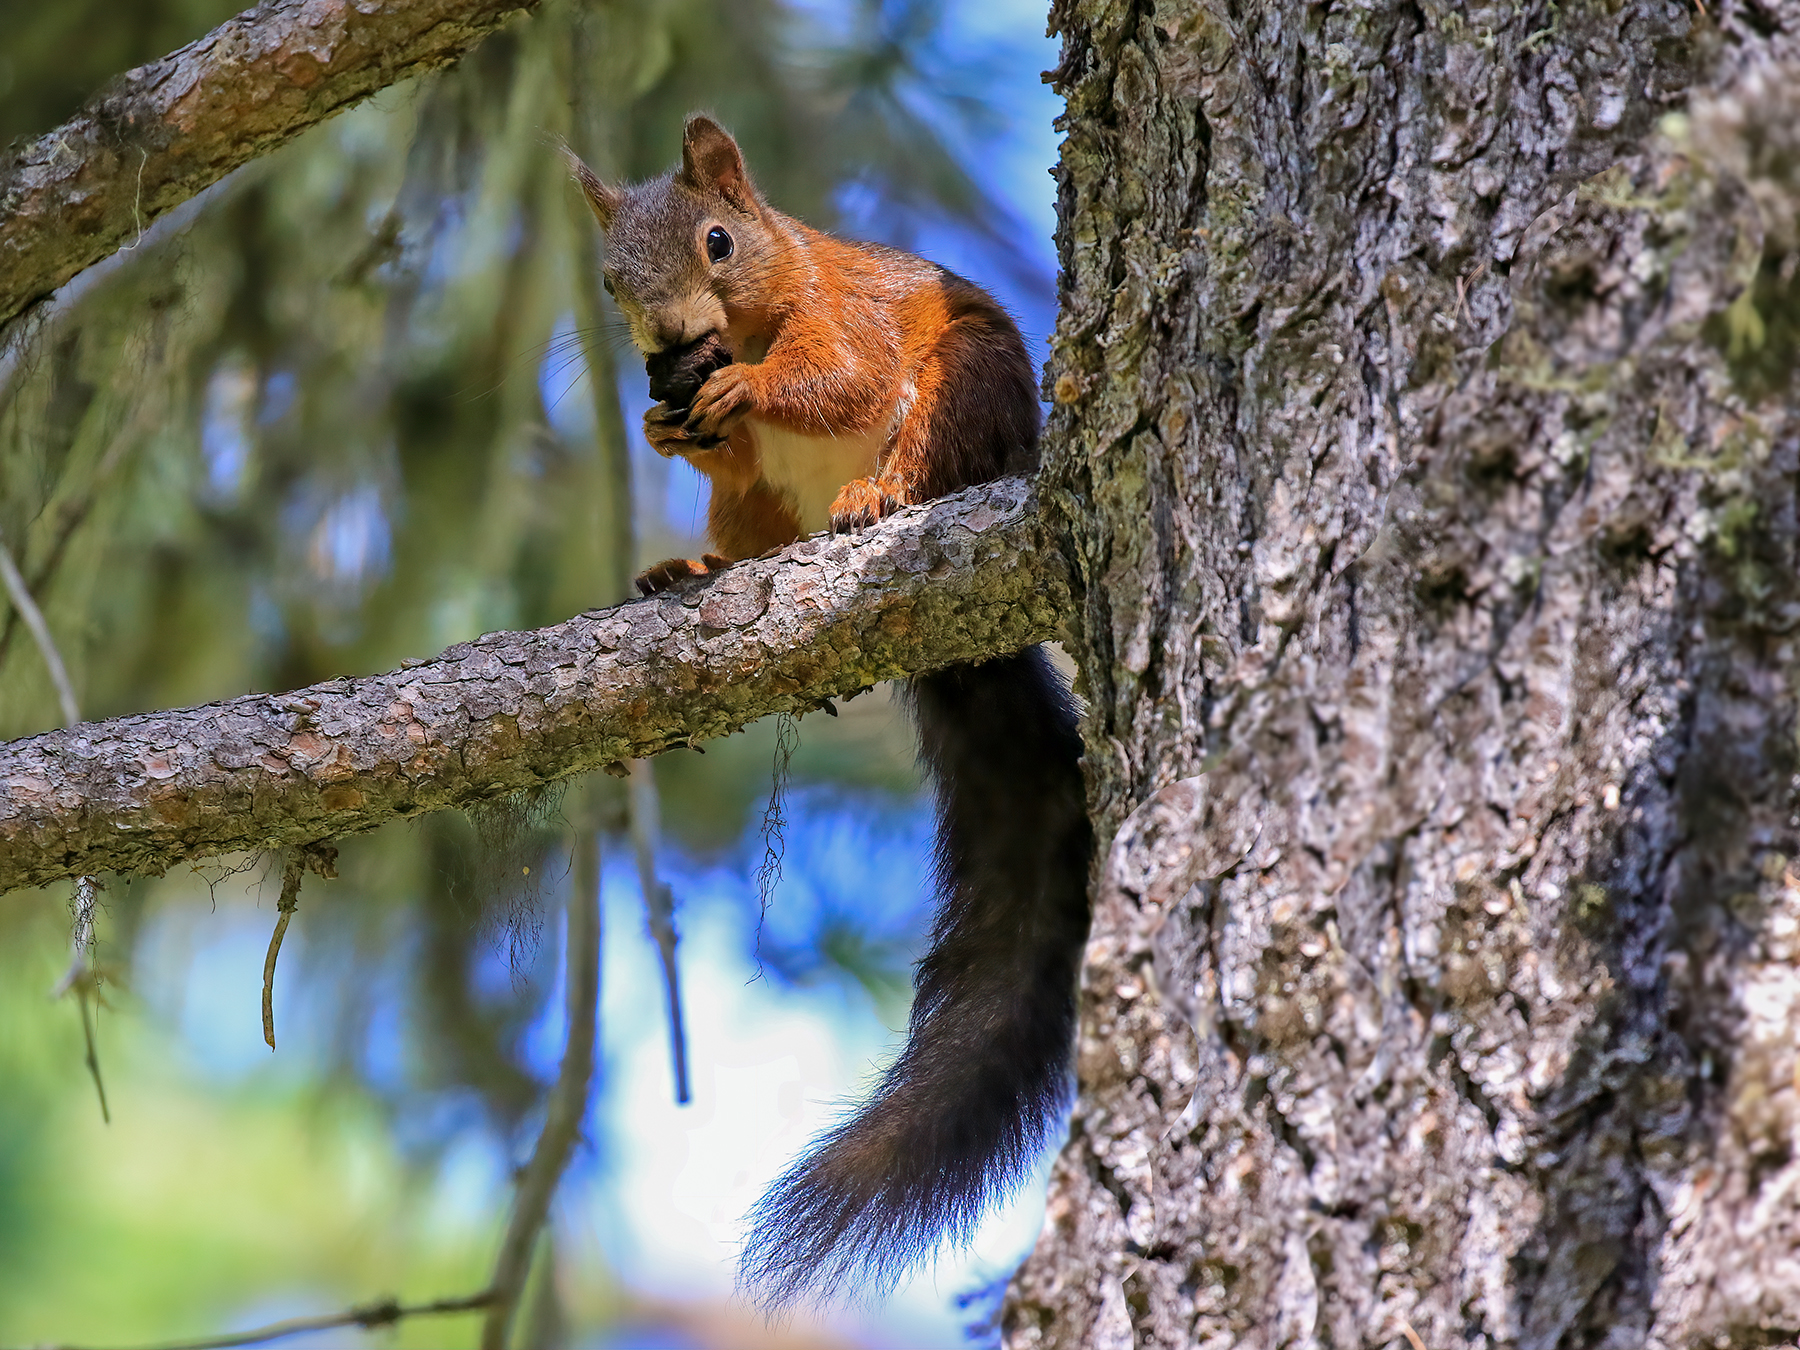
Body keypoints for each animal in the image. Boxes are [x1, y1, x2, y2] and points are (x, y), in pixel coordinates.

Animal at [568, 115, 1092, 1308]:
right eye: (610, 278)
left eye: (718, 241)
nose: (668, 336)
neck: (760, 310)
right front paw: (665, 421)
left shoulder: (843, 315)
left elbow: (836, 380)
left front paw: (742, 390)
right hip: (756, 505)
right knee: (749, 529)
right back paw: (695, 567)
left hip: (964, 383)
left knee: (922, 449)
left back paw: (878, 497)